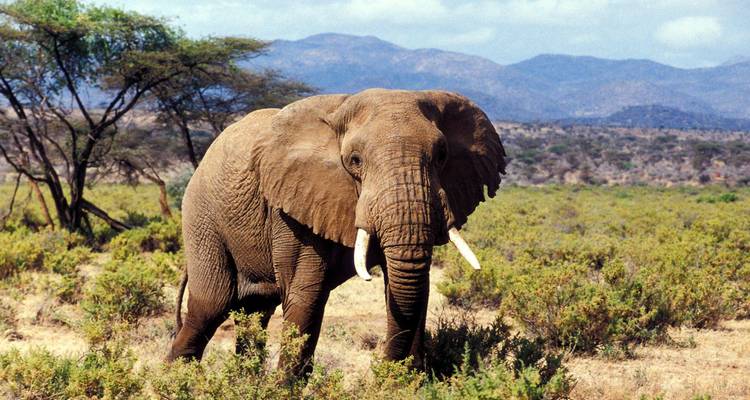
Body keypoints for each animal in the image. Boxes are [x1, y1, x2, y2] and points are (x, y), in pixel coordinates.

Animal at [167, 88, 507, 374]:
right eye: (354, 160)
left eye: (442, 156)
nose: (380, 366)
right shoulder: (292, 204)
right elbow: (307, 294)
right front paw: (285, 388)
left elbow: (414, 288)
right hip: (201, 216)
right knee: (211, 305)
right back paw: (177, 380)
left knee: (255, 313)